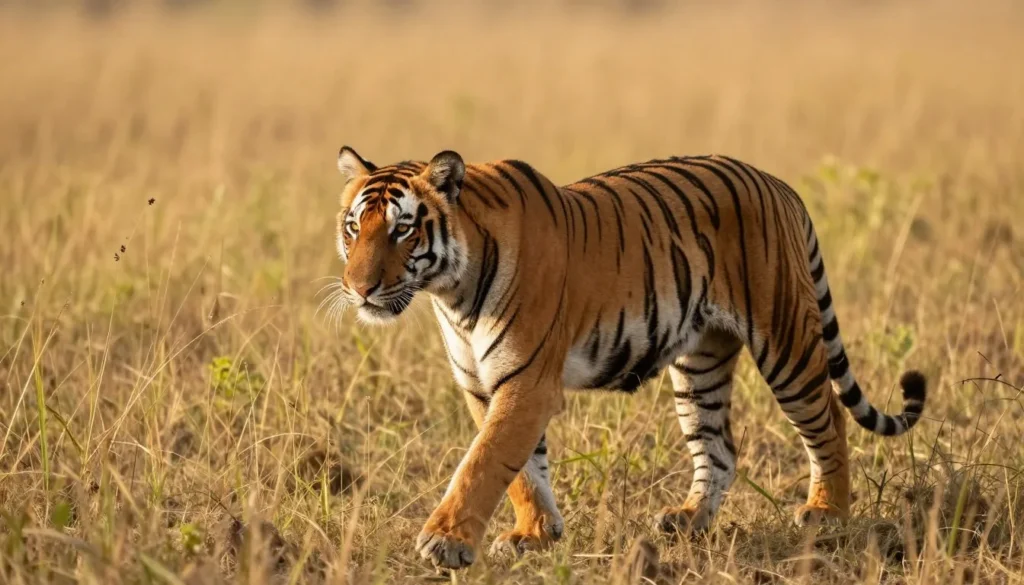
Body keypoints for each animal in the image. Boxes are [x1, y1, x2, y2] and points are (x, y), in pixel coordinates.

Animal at [330, 145, 927, 570]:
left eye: (403, 229)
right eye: (354, 227)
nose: (358, 289)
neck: (451, 294)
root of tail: (779, 185)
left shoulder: (527, 382)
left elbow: (485, 461)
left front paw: (445, 542)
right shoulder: (482, 384)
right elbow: (522, 470)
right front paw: (535, 534)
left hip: (786, 342)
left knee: (828, 420)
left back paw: (827, 514)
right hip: (701, 364)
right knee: (720, 449)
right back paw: (687, 519)